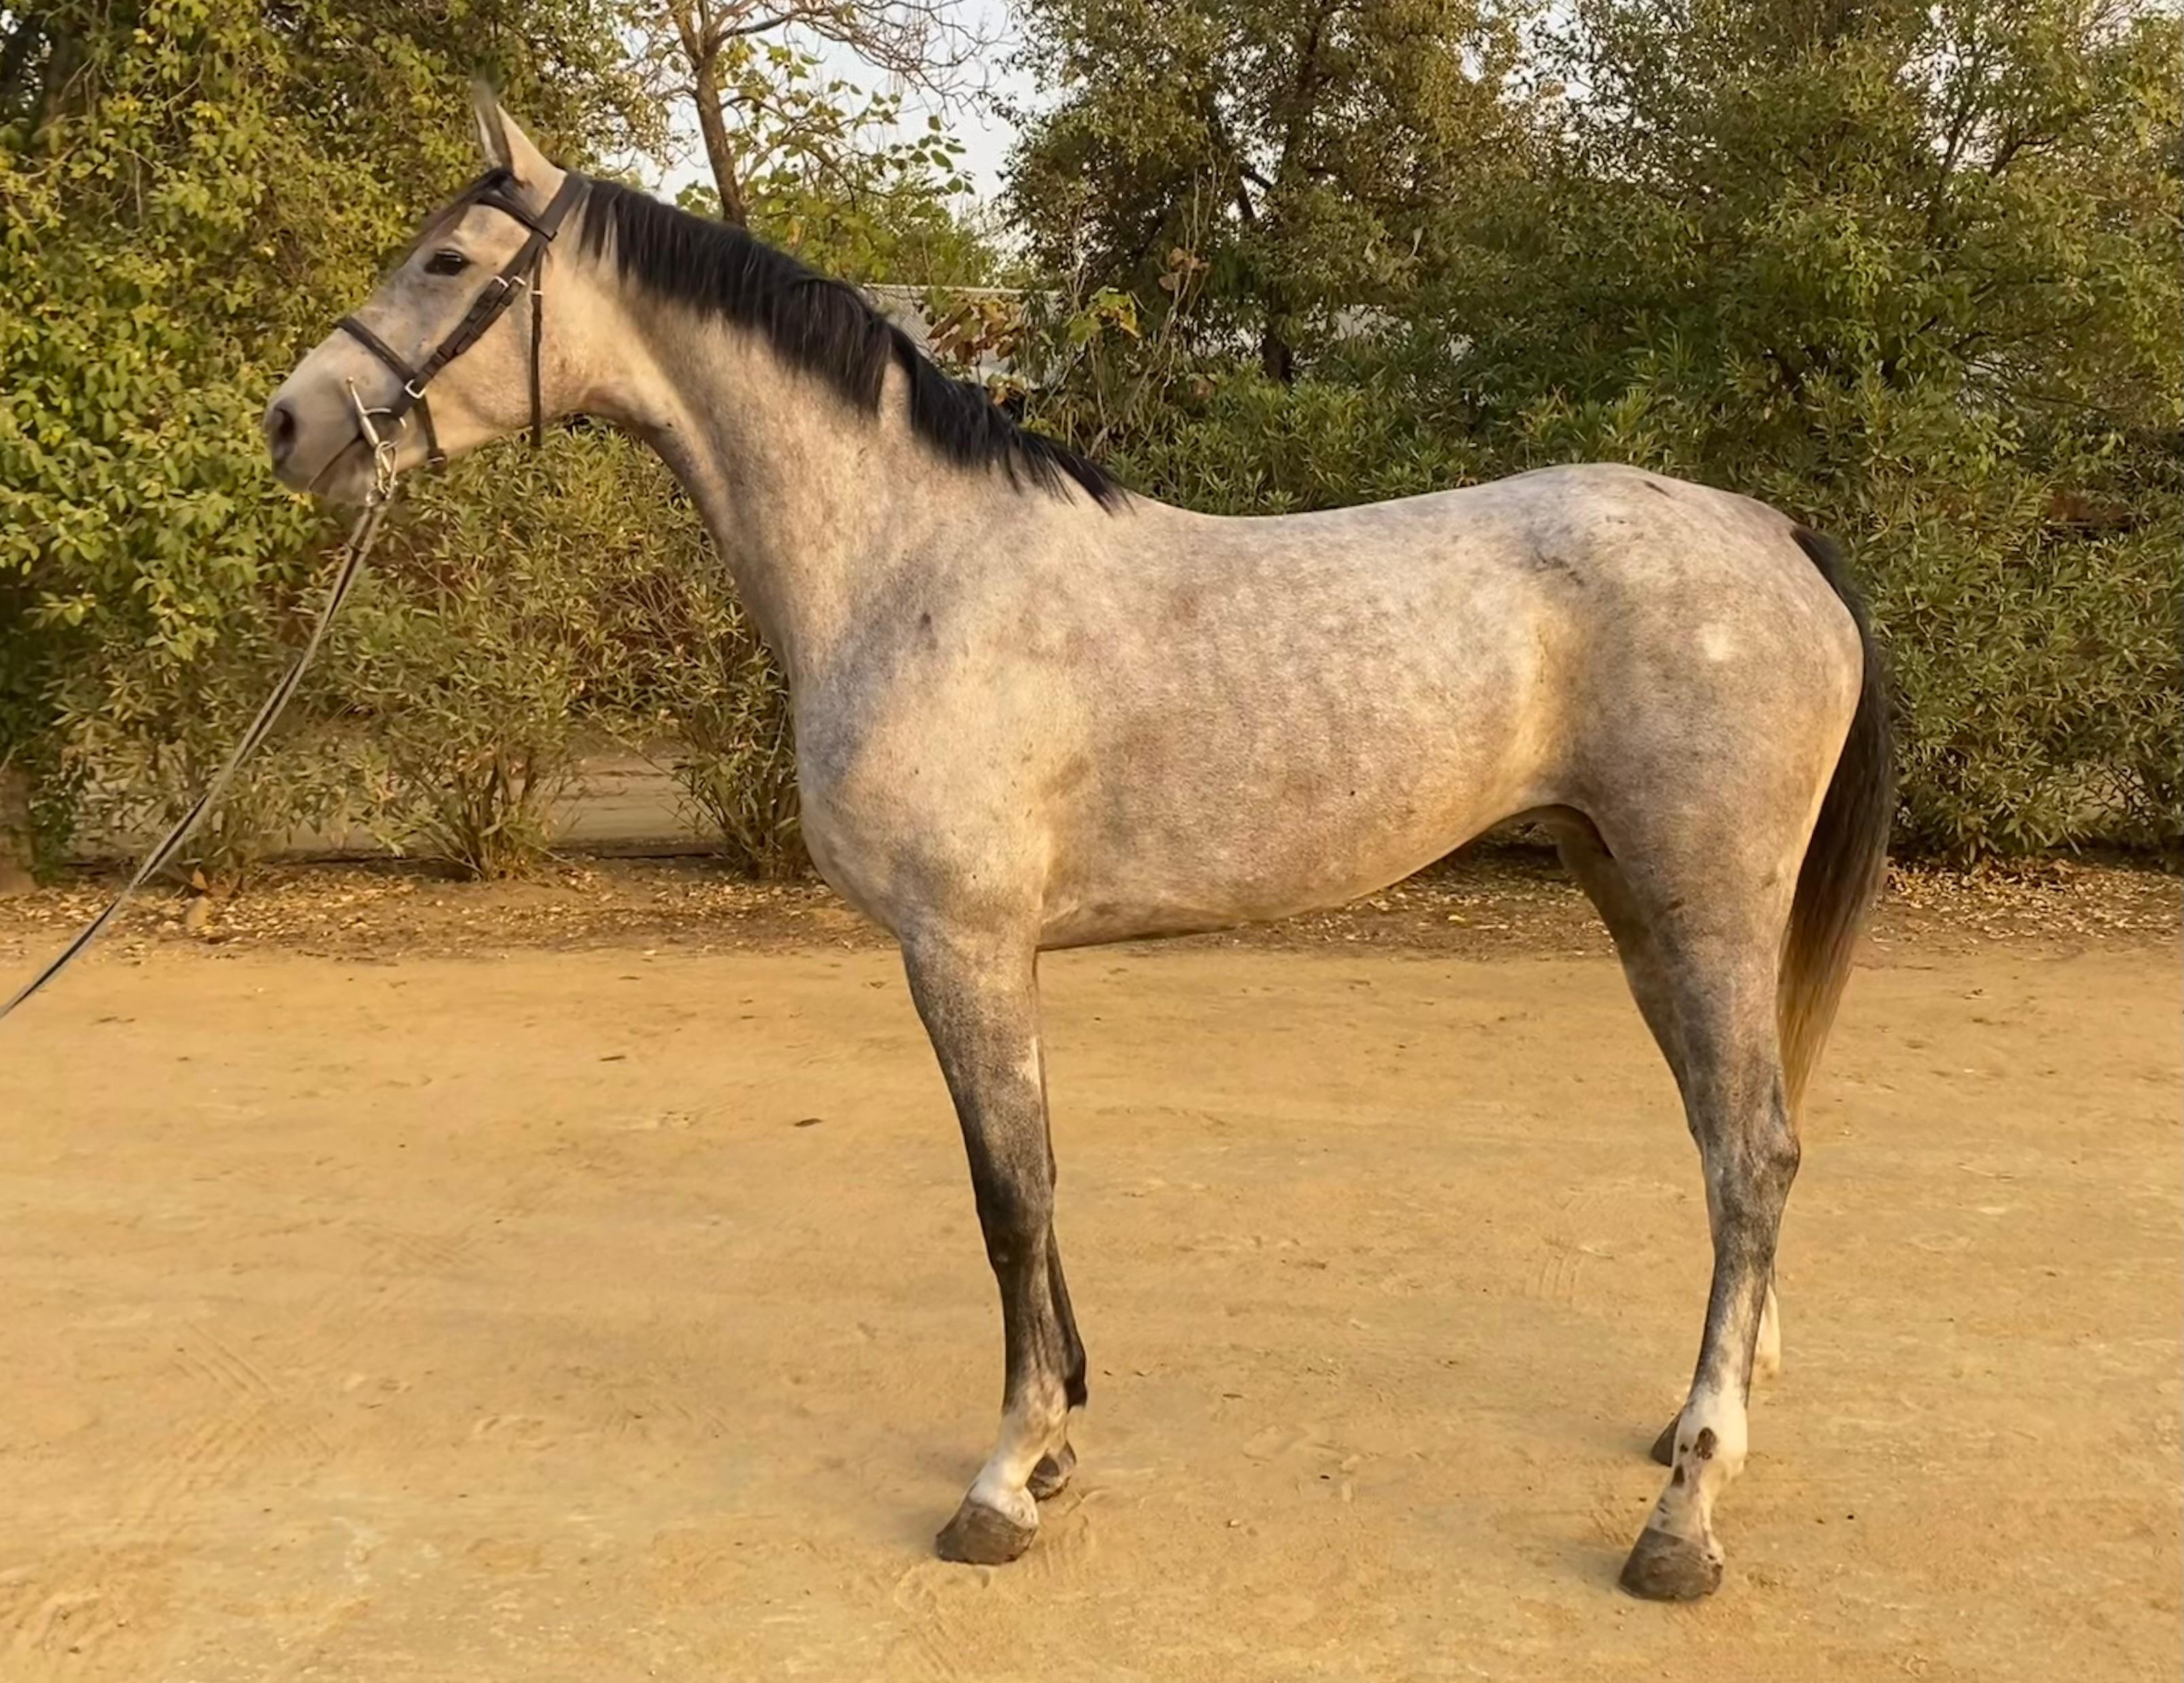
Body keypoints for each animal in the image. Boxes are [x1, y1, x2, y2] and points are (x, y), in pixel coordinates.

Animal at [264, 88, 1892, 1602]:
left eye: (447, 258)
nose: (293, 422)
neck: (908, 563)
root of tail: (1771, 532)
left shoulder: (959, 941)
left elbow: (1006, 1198)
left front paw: (1001, 1479)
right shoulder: (999, 952)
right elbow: (1035, 1181)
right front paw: (1053, 1437)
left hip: (1706, 901)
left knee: (1752, 1154)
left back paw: (1682, 1514)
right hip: (1633, 896)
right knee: (1723, 1146)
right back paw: (1699, 1424)